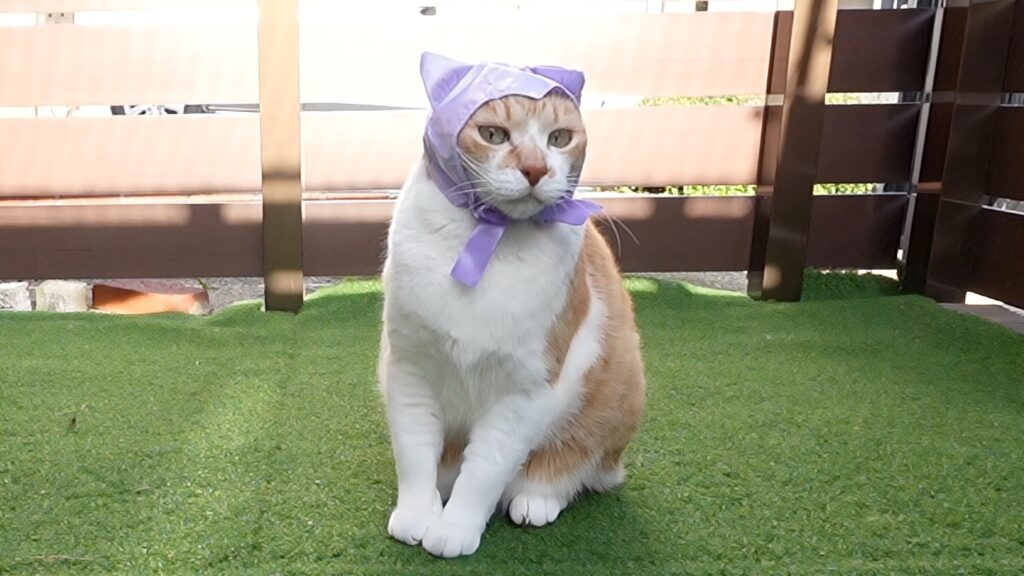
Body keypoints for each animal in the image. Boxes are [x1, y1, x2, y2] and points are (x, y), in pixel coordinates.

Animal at [378, 52, 646, 558]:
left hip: (617, 389)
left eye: (559, 138)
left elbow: (486, 469)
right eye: (493, 134)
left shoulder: (525, 392)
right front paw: (418, 514)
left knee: (572, 465)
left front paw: (455, 528)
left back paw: (534, 498)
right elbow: (415, 454)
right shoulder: (408, 371)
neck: (488, 242)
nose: (536, 168)